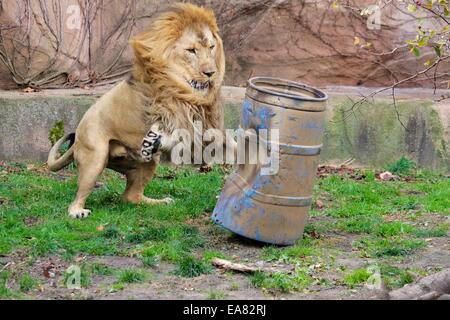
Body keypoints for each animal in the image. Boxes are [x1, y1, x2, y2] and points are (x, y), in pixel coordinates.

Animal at [46, 3, 225, 218]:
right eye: (191, 50)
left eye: (211, 47)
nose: (210, 73)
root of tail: (79, 132)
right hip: (95, 157)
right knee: (78, 198)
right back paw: (78, 212)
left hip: (148, 162)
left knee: (131, 196)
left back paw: (161, 201)